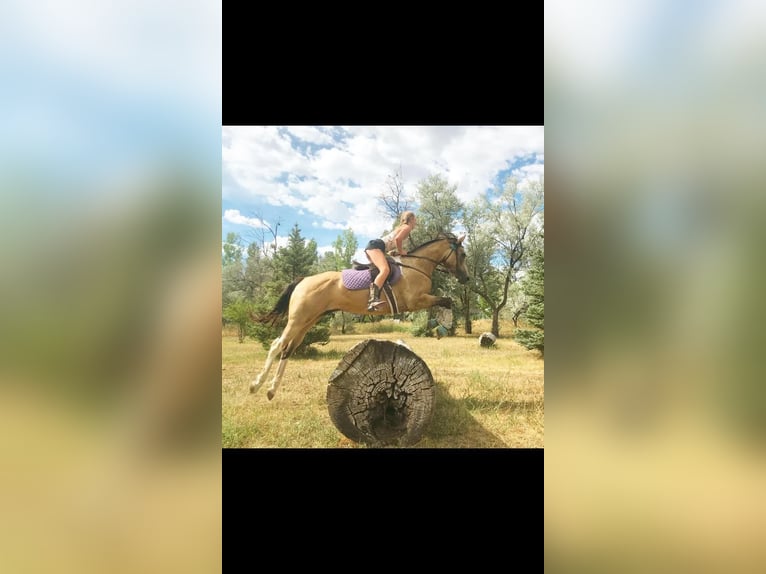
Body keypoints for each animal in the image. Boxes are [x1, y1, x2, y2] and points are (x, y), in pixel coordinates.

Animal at [249, 232, 472, 402]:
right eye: (462, 254)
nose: (466, 278)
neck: (417, 266)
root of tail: (304, 280)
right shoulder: (416, 300)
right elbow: (447, 301)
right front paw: (442, 328)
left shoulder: (421, 300)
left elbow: (445, 302)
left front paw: (439, 326)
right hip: (298, 320)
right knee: (277, 345)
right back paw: (256, 385)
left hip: (307, 321)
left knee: (288, 349)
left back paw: (271, 390)